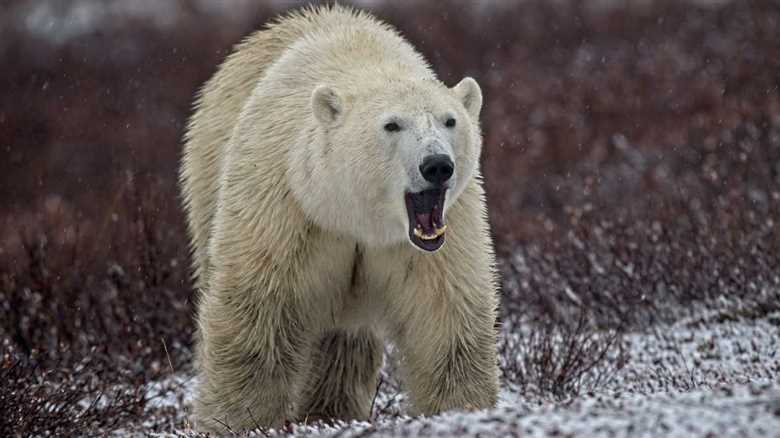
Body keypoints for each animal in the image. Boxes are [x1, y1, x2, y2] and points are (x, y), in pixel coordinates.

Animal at [179, 4, 499, 433]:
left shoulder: (435, 239)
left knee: (343, 340)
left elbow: (445, 313)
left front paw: (463, 409)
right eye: (392, 124)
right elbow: (258, 311)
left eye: (449, 120)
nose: (437, 165)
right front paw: (236, 420)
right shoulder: (288, 209)